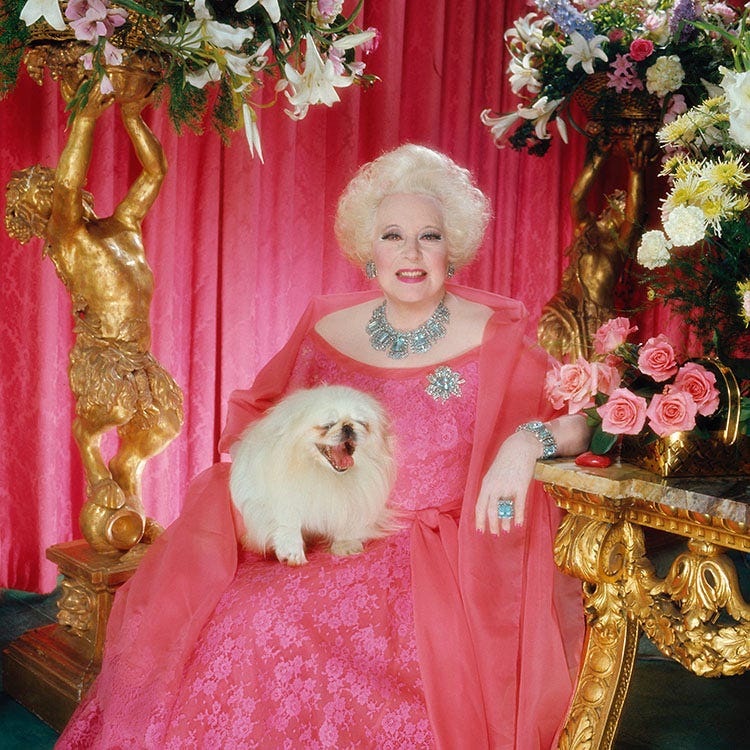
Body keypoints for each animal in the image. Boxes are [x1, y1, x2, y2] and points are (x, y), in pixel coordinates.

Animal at [229, 384, 396, 568]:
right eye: (328, 425)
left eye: (361, 423)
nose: (347, 427)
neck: (318, 470)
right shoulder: (280, 502)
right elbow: (288, 526)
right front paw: (293, 554)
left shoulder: (349, 501)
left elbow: (346, 521)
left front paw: (346, 545)